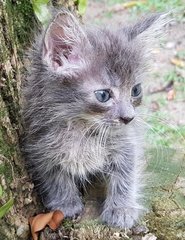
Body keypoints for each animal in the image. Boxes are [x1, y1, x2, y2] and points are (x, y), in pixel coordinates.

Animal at [21, 10, 168, 228]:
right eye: (103, 95)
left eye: (135, 90)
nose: (129, 117)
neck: (81, 127)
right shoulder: (38, 144)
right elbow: (54, 176)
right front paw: (66, 203)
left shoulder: (126, 142)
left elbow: (125, 174)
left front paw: (121, 209)